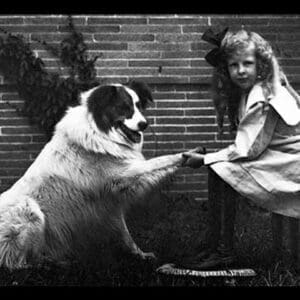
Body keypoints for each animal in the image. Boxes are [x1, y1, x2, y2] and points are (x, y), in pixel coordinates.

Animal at [0, 79, 192, 270]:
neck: (100, 132)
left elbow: (125, 234)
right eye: (124, 107)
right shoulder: (123, 176)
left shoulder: (111, 202)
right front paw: (187, 155)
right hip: (29, 211)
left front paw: (141, 255)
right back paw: (51, 264)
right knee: (16, 262)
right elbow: (158, 161)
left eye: (138, 106)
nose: (144, 124)